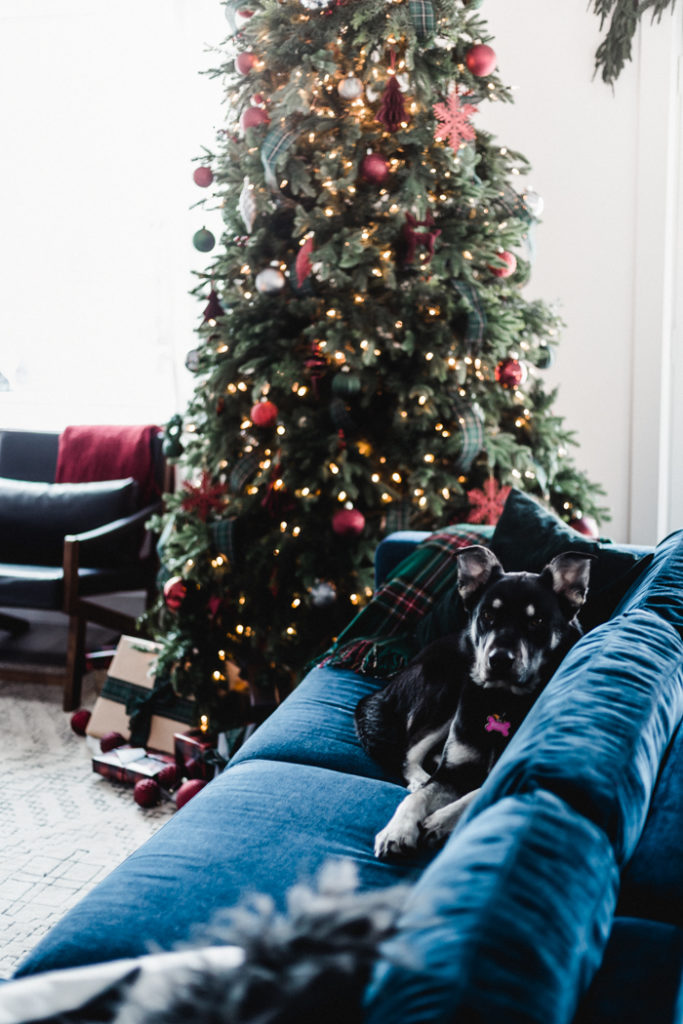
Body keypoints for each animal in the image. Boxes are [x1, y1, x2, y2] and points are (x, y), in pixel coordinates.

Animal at [356, 548, 589, 860]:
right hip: (447, 691)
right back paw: (418, 777)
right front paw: (397, 830)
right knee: (409, 752)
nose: (498, 660)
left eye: (537, 621)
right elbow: (419, 796)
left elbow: (478, 794)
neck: (502, 700)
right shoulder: (451, 771)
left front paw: (440, 820)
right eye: (488, 615)